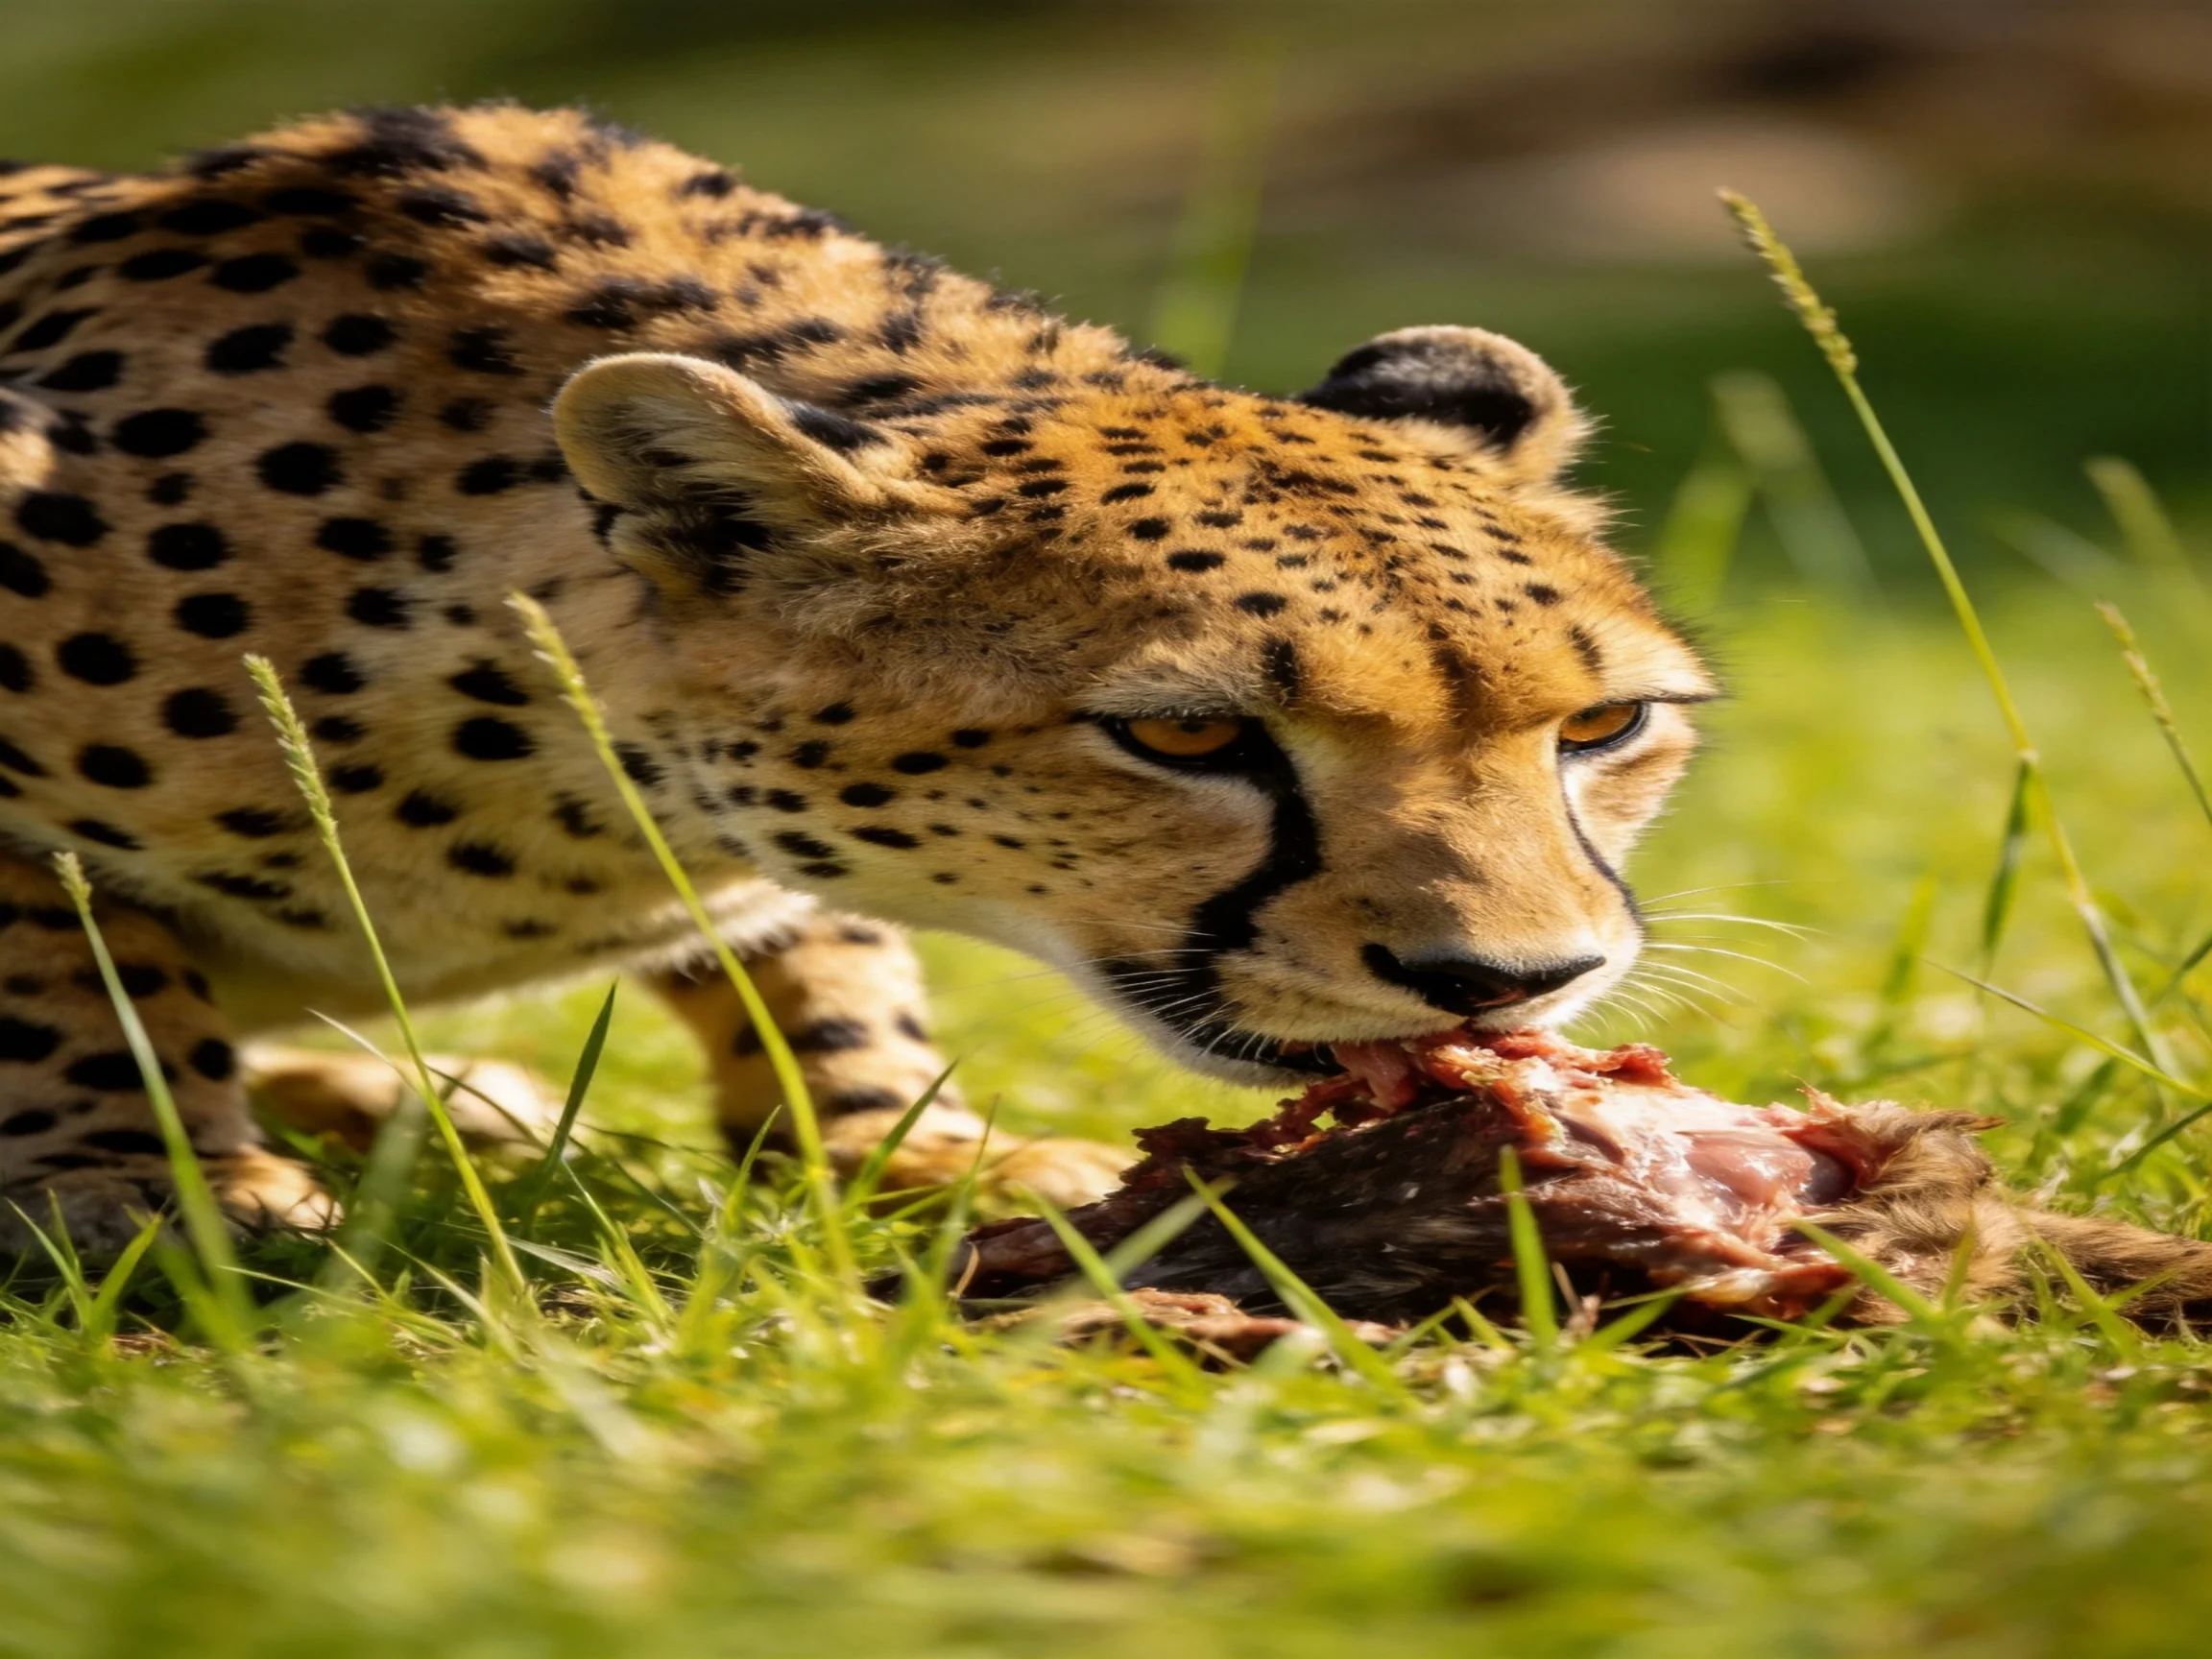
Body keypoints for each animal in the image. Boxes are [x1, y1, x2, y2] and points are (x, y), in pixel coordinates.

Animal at [0, 104, 1713, 1251]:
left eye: (1604, 722)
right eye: (1186, 733)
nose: (1510, 981)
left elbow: (821, 951)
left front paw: (903, 1139)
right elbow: (66, 973)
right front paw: (138, 1180)